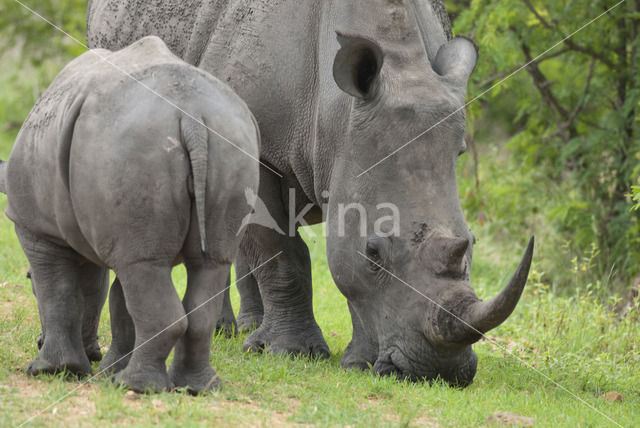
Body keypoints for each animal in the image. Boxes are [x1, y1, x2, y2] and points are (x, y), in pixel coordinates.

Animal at [0, 35, 260, 392]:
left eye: (27, 282)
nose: (38, 343)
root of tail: (192, 116)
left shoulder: (36, 228)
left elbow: (59, 291)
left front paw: (52, 370)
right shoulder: (109, 232)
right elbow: (112, 298)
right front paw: (101, 368)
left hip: (133, 147)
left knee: (147, 270)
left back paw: (135, 386)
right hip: (230, 143)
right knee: (207, 264)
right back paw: (196, 388)